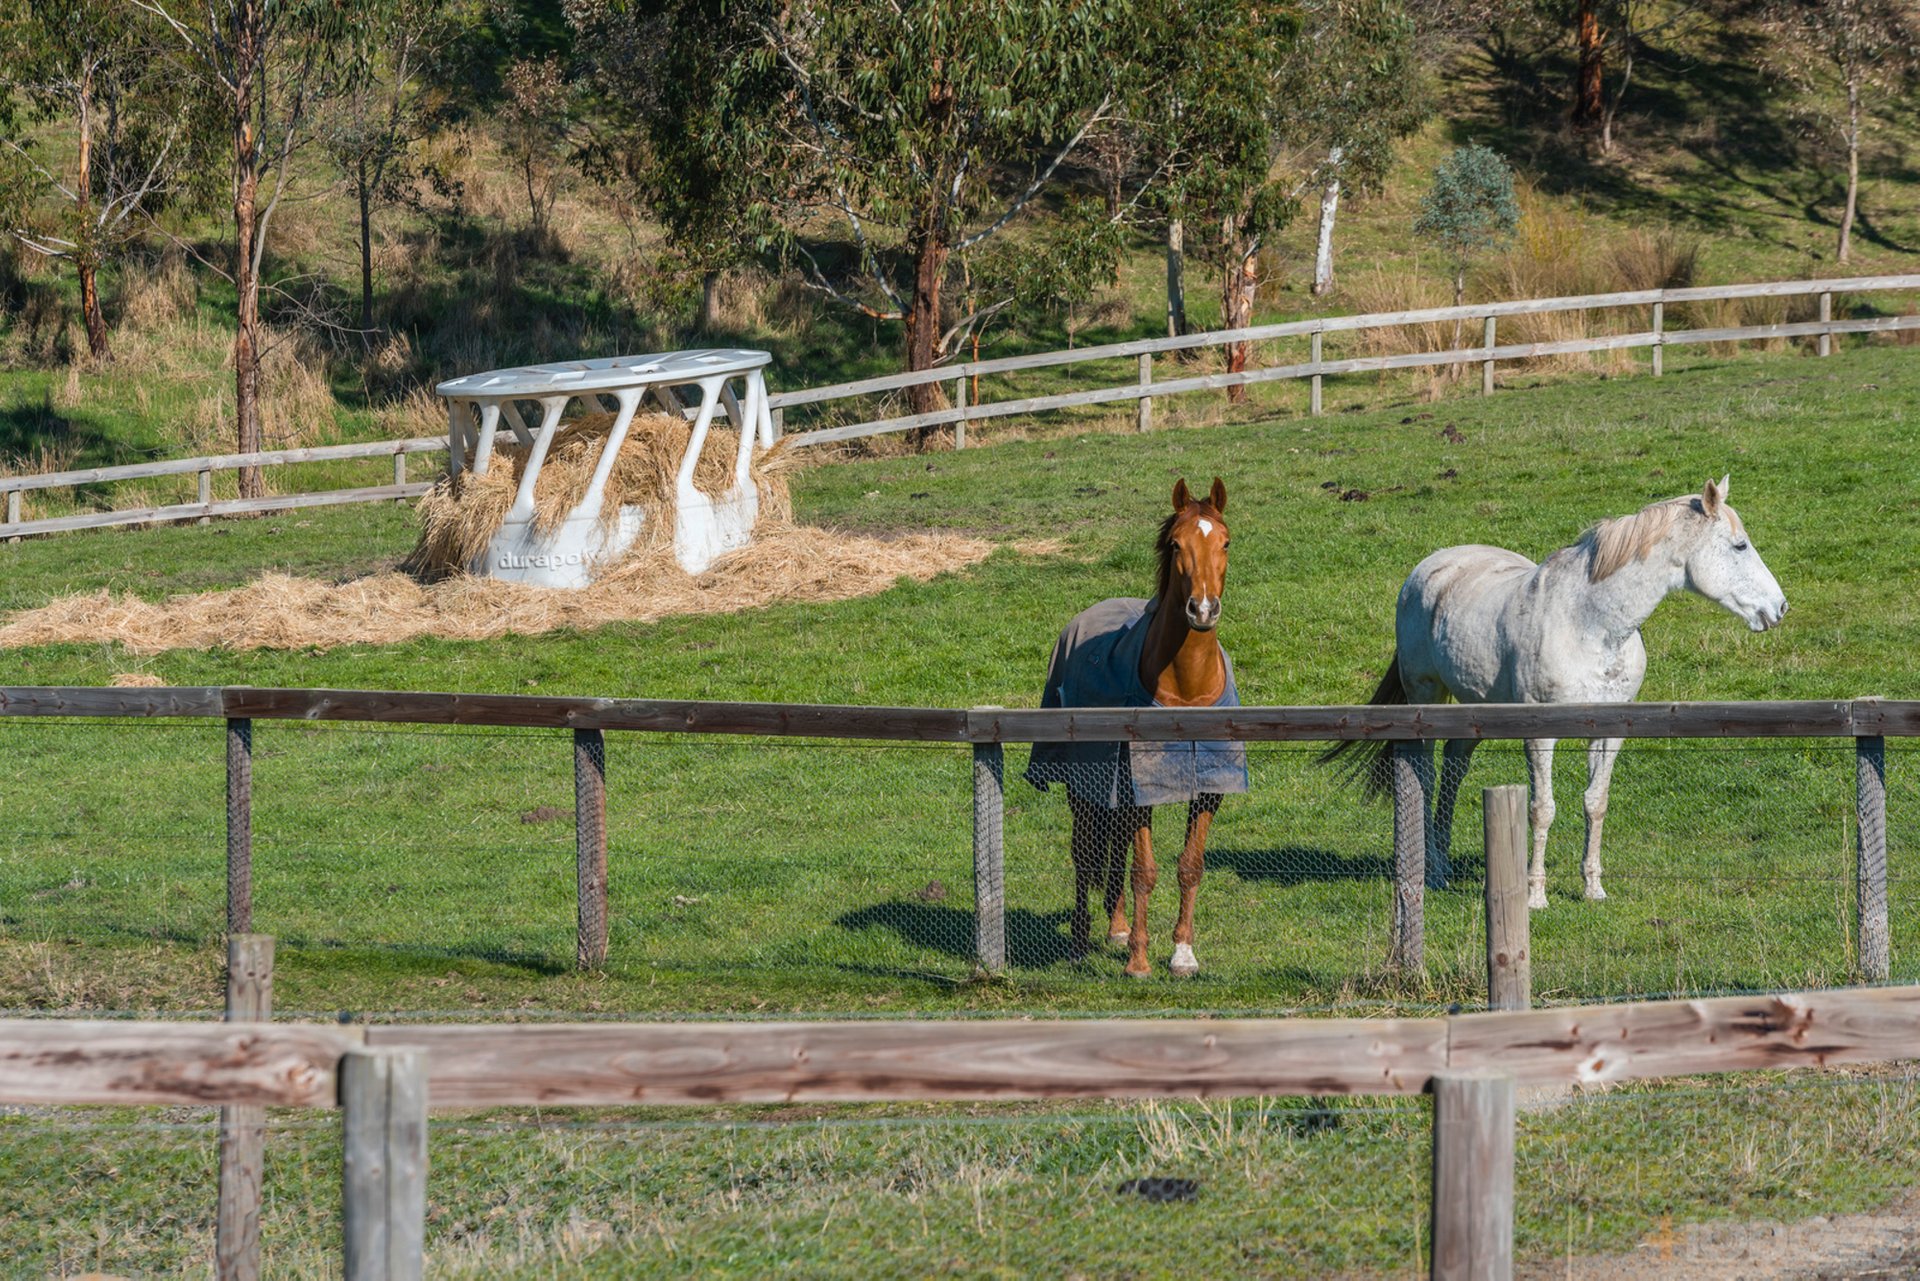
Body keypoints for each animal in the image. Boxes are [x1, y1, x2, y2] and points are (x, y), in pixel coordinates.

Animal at [1021, 476, 1244, 975]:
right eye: (1176, 544)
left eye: (1225, 542)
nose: (1203, 610)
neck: (1187, 692)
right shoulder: (1141, 785)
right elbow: (1145, 870)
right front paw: (1140, 961)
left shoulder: (1209, 788)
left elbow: (1190, 865)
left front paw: (1182, 953)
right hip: (1083, 786)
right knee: (1085, 852)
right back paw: (1081, 942)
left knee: (1115, 845)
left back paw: (1118, 927)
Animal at [1336, 480, 1781, 910]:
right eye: (1740, 546)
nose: (1779, 607)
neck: (1592, 625)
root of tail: (1428, 568)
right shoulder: (1540, 735)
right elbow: (1541, 810)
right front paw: (1535, 895)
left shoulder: (1609, 732)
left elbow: (1595, 802)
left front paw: (1593, 888)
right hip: (1424, 698)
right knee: (1425, 778)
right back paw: (1433, 872)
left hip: (1474, 710)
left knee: (1454, 767)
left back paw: (1443, 865)